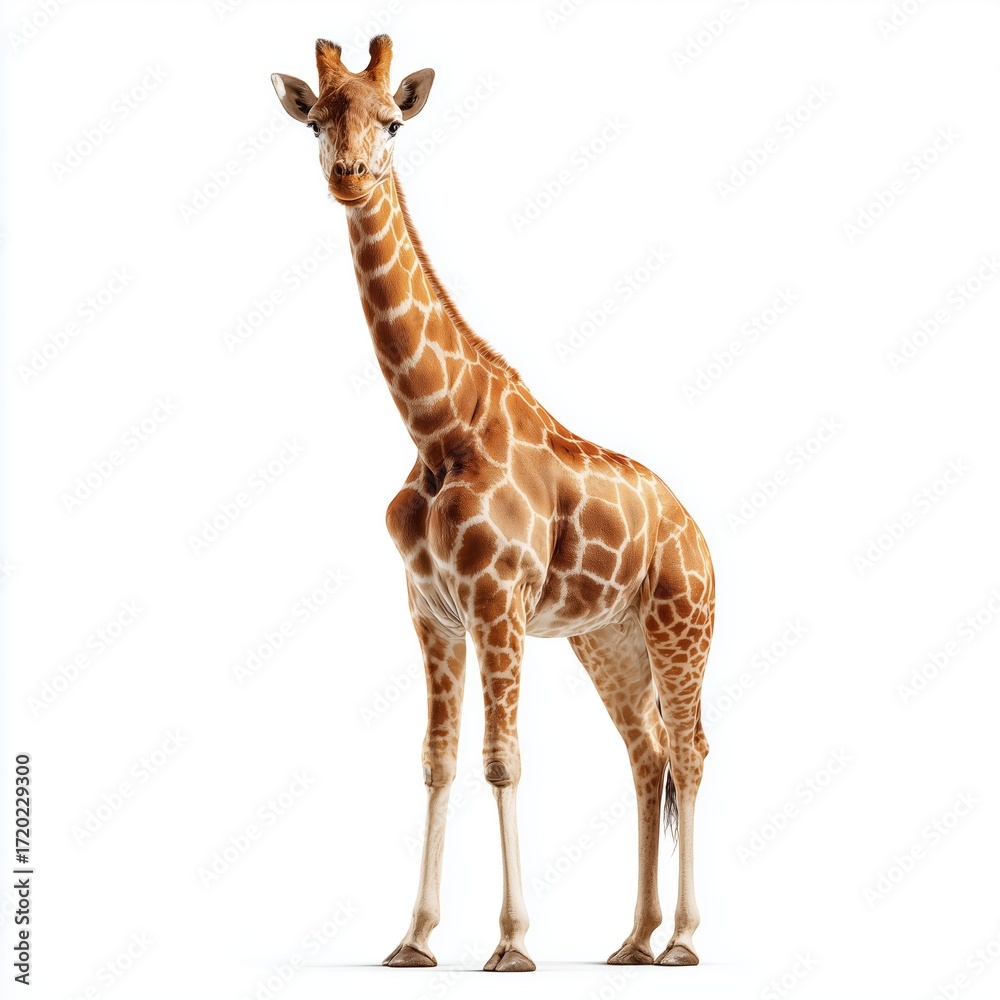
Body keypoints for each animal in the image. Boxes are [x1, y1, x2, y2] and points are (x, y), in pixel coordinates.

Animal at [271, 35, 714, 972]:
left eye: (394, 121)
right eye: (317, 122)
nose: (350, 177)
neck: (438, 428)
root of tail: (696, 532)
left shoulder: (497, 600)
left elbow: (502, 758)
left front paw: (511, 943)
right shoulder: (431, 610)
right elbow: (437, 760)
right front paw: (413, 938)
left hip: (680, 623)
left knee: (691, 751)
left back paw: (685, 940)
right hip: (606, 639)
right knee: (646, 751)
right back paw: (633, 939)